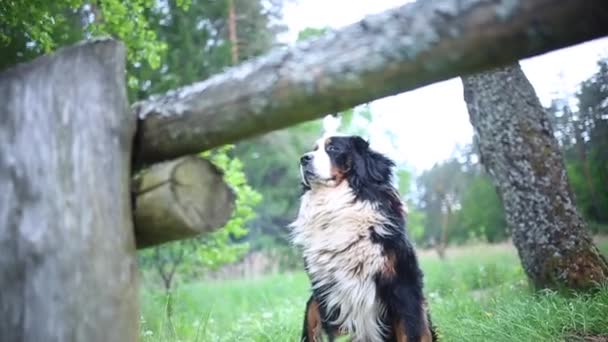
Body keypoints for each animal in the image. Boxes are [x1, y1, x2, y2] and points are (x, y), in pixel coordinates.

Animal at [290, 135, 436, 340]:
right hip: (313, 304)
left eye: (333, 148)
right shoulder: (330, 292)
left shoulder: (403, 285)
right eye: (314, 149)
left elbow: (411, 331)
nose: (303, 159)